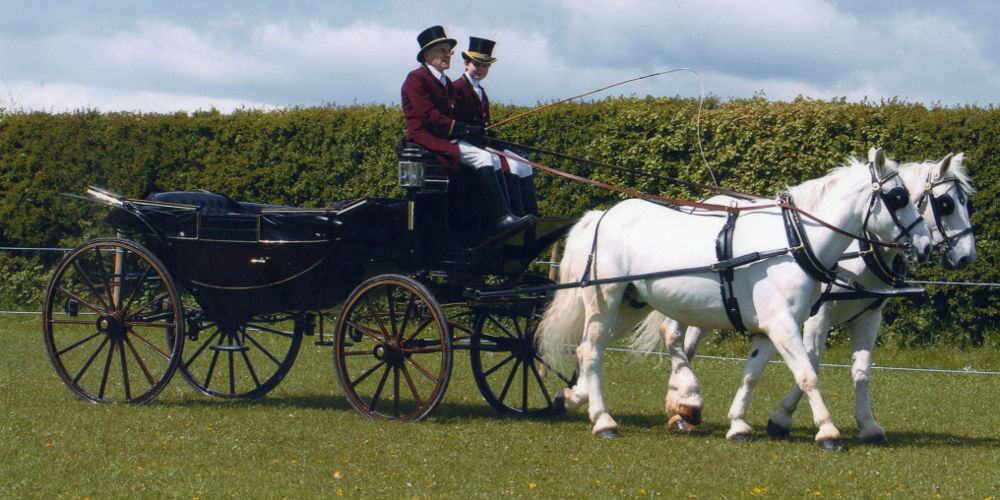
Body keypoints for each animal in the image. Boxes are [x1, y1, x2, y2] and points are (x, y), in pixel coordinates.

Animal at [536, 147, 932, 450]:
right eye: (899, 197)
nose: (926, 245)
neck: (793, 241)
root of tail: (601, 216)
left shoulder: (770, 329)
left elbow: (751, 375)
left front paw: (739, 424)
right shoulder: (783, 325)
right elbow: (808, 374)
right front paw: (828, 432)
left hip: (630, 304)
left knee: (589, 349)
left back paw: (575, 399)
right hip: (605, 298)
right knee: (592, 351)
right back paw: (604, 421)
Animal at [636, 149, 972, 446]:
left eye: (966, 201)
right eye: (946, 203)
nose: (967, 256)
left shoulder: (868, 317)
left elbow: (861, 372)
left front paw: (868, 425)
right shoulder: (818, 315)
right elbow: (812, 362)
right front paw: (783, 418)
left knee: (687, 342)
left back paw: (682, 406)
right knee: (674, 334)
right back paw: (683, 406)